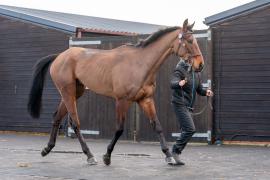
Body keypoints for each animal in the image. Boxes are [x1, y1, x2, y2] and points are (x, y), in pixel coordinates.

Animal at [28, 19, 205, 165]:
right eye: (189, 40)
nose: (200, 64)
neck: (140, 64)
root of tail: (59, 56)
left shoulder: (146, 99)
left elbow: (157, 126)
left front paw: (168, 156)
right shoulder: (122, 101)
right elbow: (119, 128)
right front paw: (107, 156)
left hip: (74, 93)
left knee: (57, 117)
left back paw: (47, 149)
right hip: (68, 93)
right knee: (75, 123)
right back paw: (89, 155)